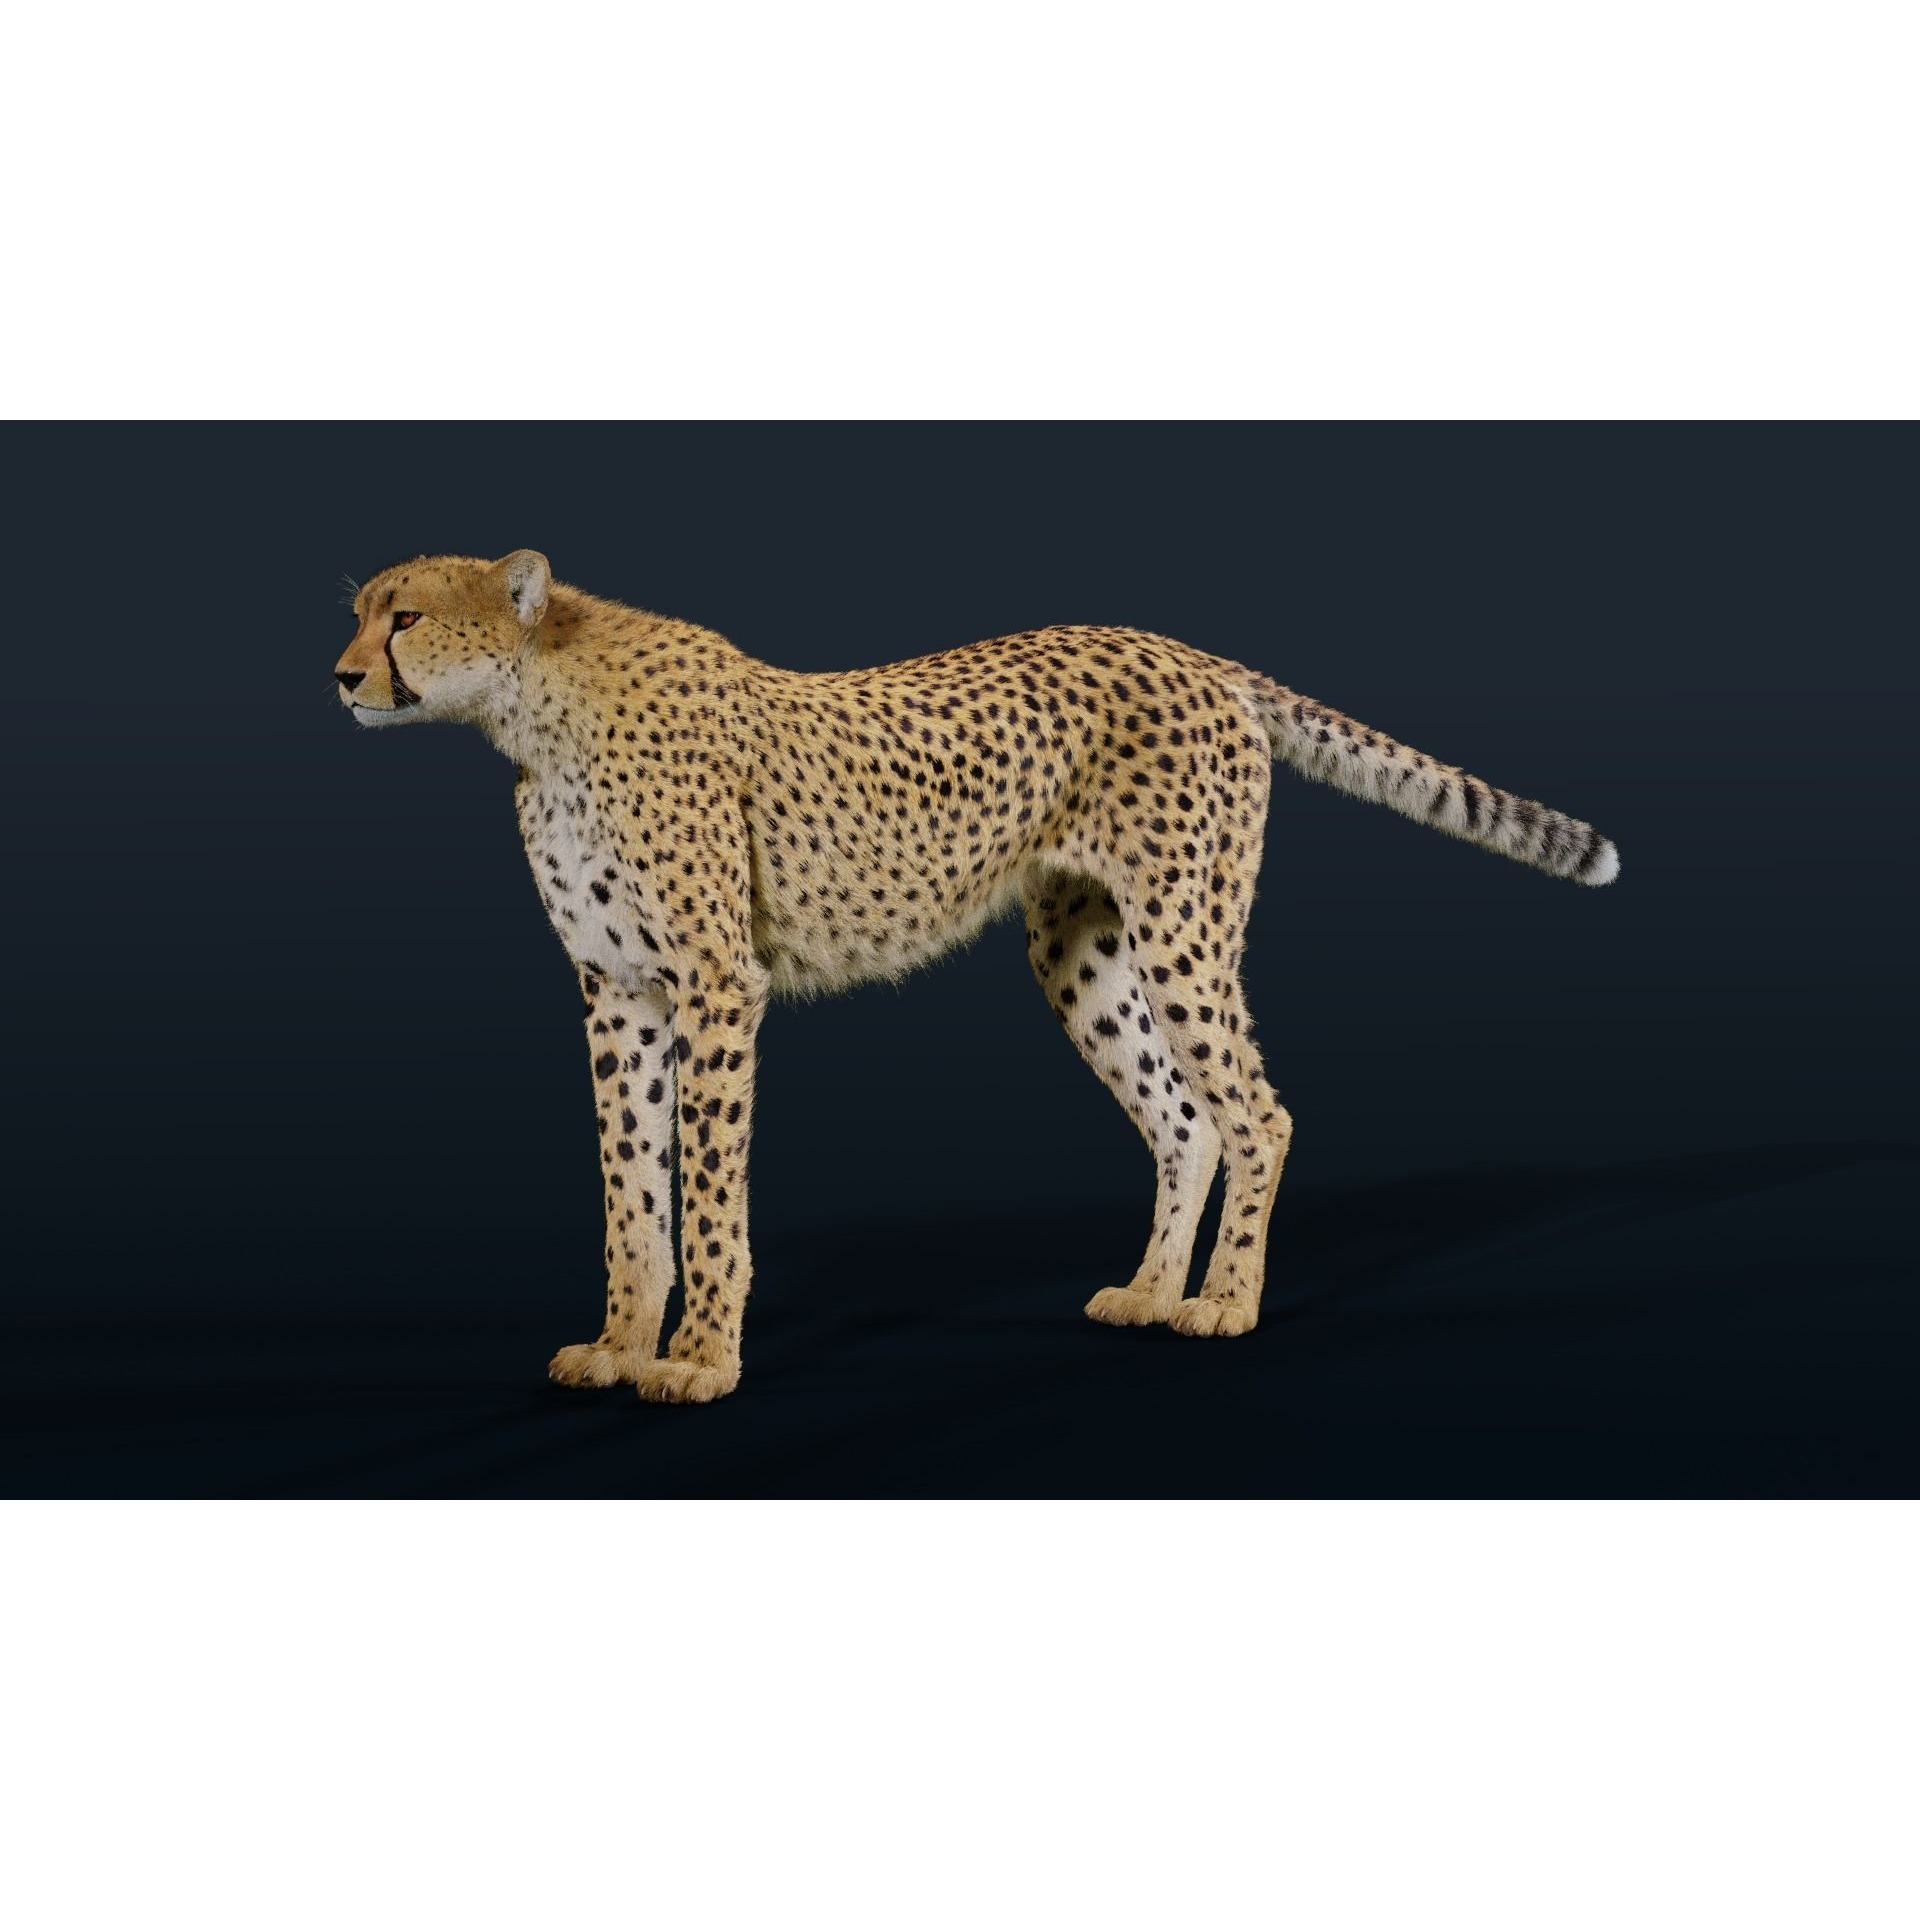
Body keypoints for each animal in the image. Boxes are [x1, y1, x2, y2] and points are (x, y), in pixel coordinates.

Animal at [334, 549, 1619, 1404]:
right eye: (356, 613)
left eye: (405, 616)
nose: (342, 677)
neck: (534, 707)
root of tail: (1192, 650)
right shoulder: (621, 992)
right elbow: (629, 1190)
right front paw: (617, 1346)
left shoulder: (714, 983)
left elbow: (703, 1188)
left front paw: (697, 1359)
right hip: (1082, 951)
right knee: (1184, 1118)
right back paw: (1153, 1292)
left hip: (1185, 927)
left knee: (1257, 1112)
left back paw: (1225, 1302)